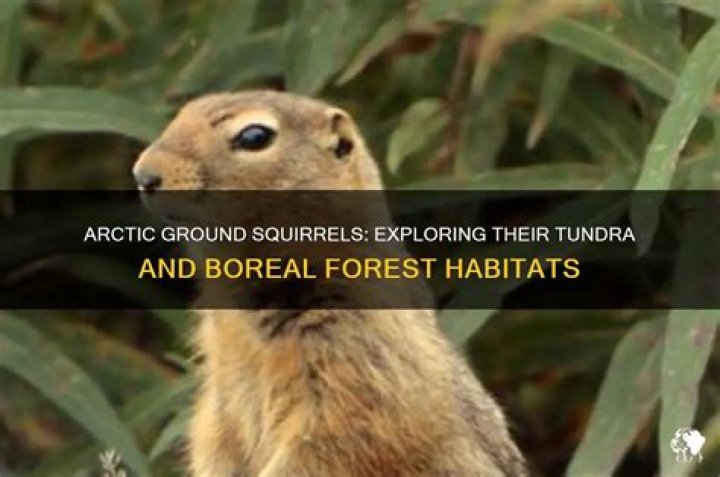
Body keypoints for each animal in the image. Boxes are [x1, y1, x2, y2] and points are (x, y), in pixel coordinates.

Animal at [132, 91, 527, 476]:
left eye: (255, 137)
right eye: (182, 112)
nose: (143, 174)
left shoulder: (360, 361)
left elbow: (332, 442)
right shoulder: (219, 382)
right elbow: (212, 434)